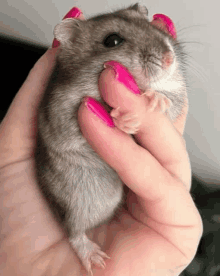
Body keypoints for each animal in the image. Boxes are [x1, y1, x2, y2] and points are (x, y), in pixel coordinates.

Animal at [34, 3, 187, 274]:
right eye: (112, 40)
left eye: (150, 25)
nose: (170, 59)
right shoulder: (62, 116)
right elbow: (91, 112)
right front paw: (122, 119)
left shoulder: (177, 93)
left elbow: (170, 100)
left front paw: (155, 100)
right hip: (76, 203)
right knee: (73, 231)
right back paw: (95, 260)